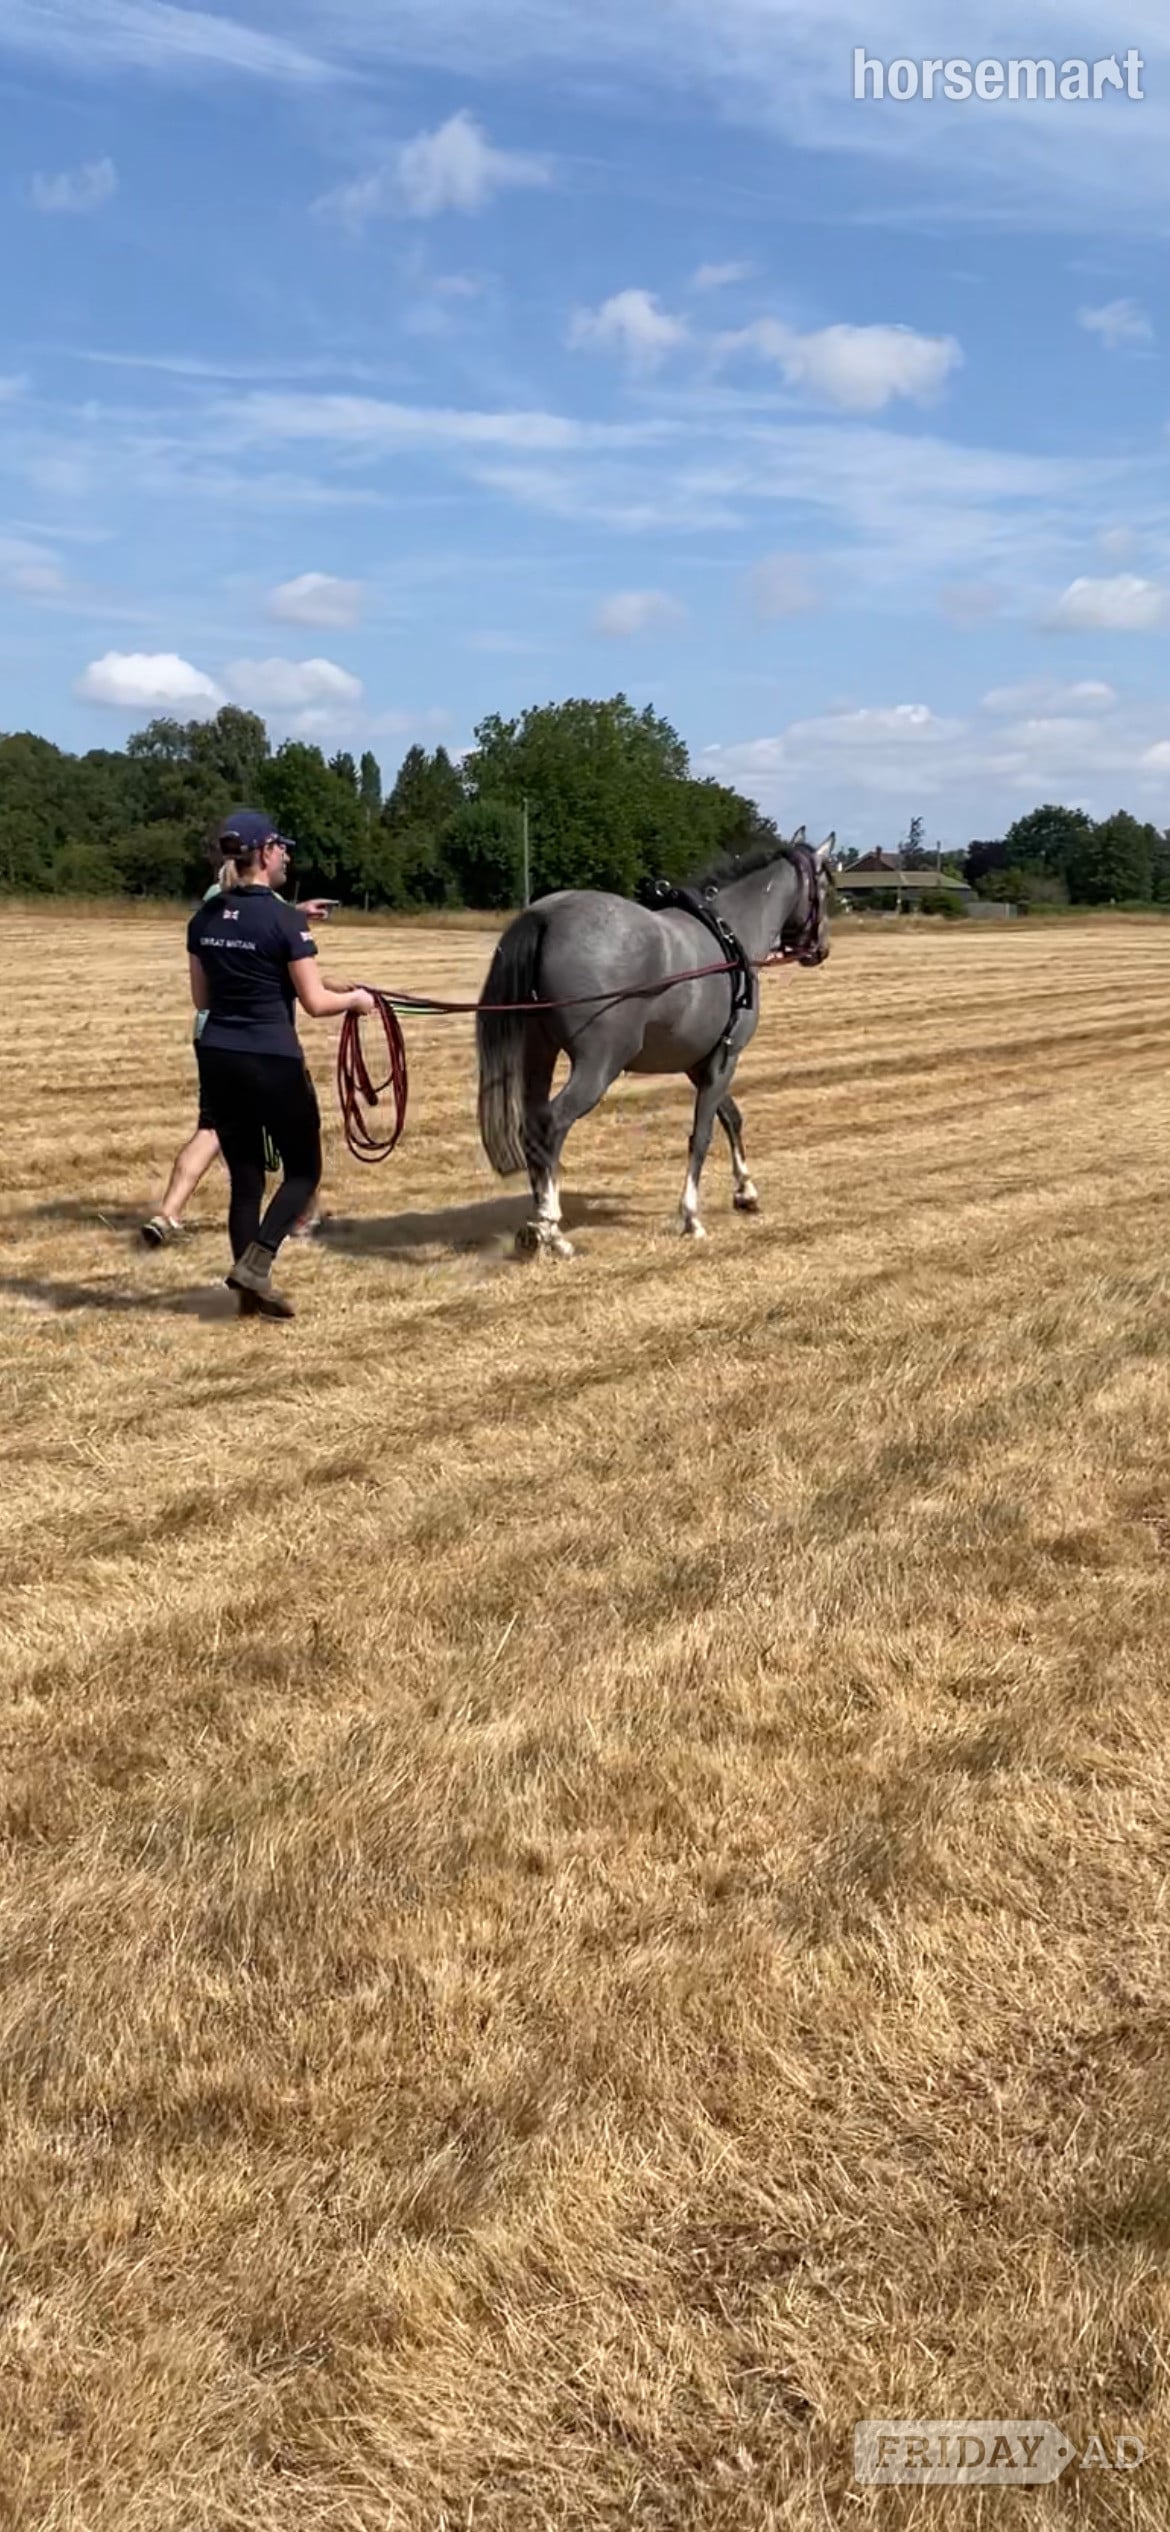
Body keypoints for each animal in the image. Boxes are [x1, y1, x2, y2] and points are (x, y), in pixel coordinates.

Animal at [475, 828, 833, 1257]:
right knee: (552, 1123)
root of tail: (544, 916)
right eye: (824, 887)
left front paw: (746, 1191)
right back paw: (551, 1227)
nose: (821, 948)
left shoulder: (700, 1063)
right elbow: (702, 1134)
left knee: (531, 1127)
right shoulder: (725, 1058)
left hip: (538, 1054)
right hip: (599, 1066)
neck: (732, 933)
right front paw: (691, 1217)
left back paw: (538, 1221)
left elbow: (731, 1117)